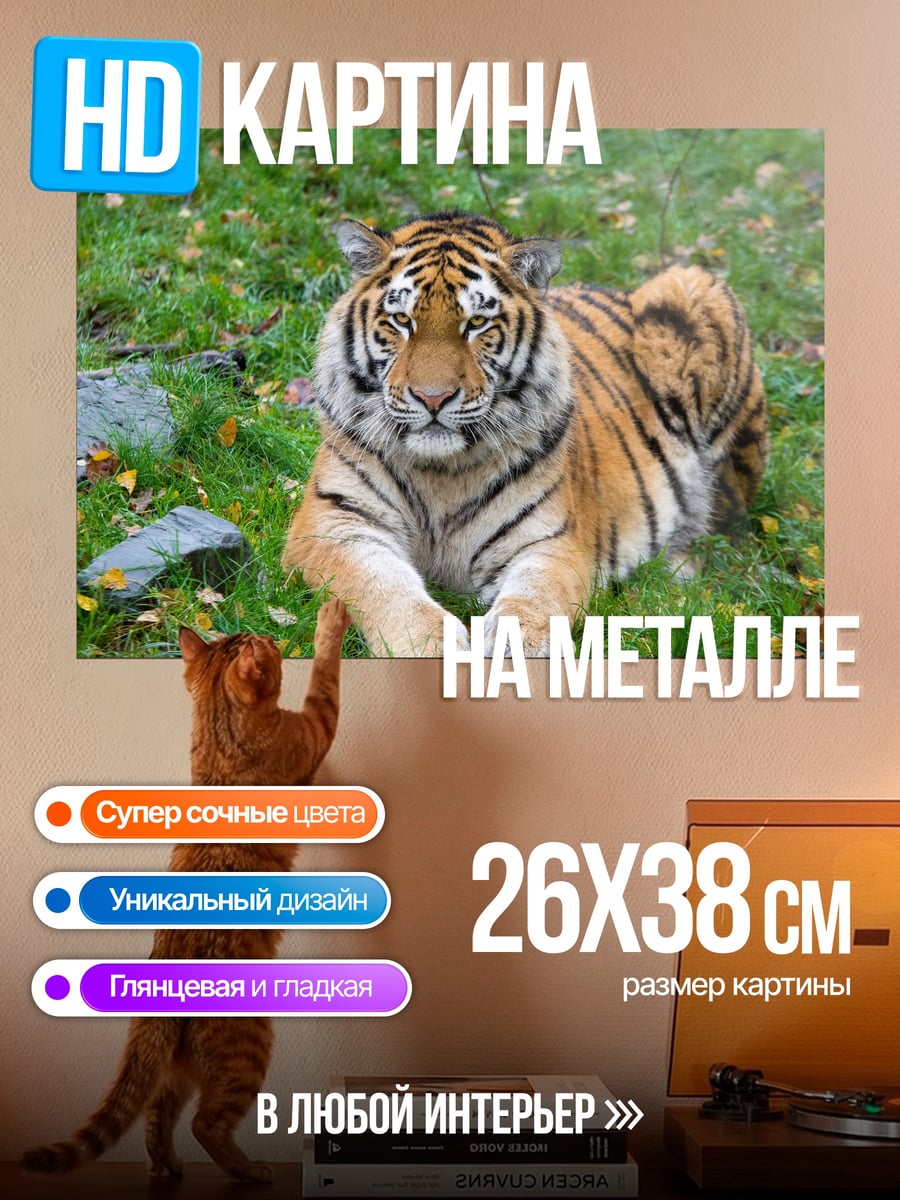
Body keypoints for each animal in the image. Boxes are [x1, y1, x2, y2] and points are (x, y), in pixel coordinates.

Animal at [282, 210, 768, 656]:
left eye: (476, 323)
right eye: (402, 320)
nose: (433, 398)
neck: (440, 475)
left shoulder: (551, 543)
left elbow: (534, 601)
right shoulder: (333, 523)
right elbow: (384, 588)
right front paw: (430, 649)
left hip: (694, 290)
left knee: (727, 519)